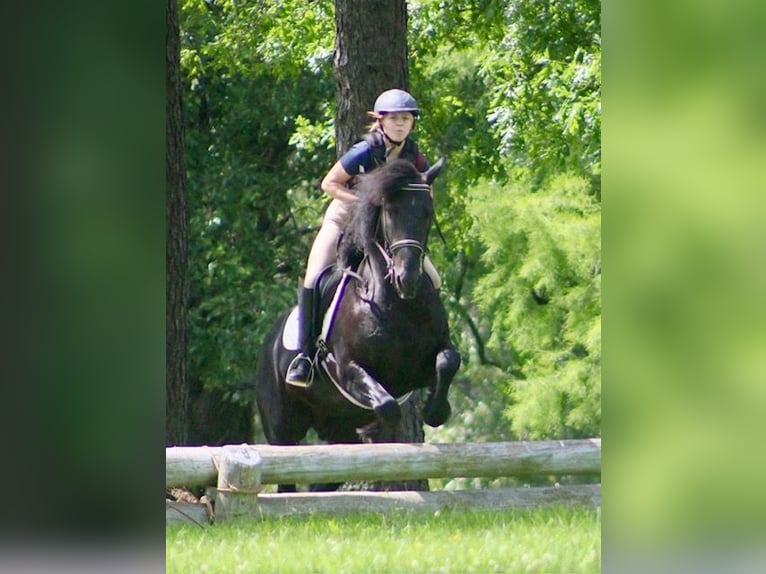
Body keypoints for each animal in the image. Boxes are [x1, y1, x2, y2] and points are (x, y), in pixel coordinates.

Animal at [254, 158, 461, 491]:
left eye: (427, 212)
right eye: (390, 212)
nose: (407, 279)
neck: (399, 303)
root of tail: (268, 342)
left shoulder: (420, 367)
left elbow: (447, 361)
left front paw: (436, 410)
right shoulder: (350, 370)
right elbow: (387, 405)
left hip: (337, 426)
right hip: (281, 427)